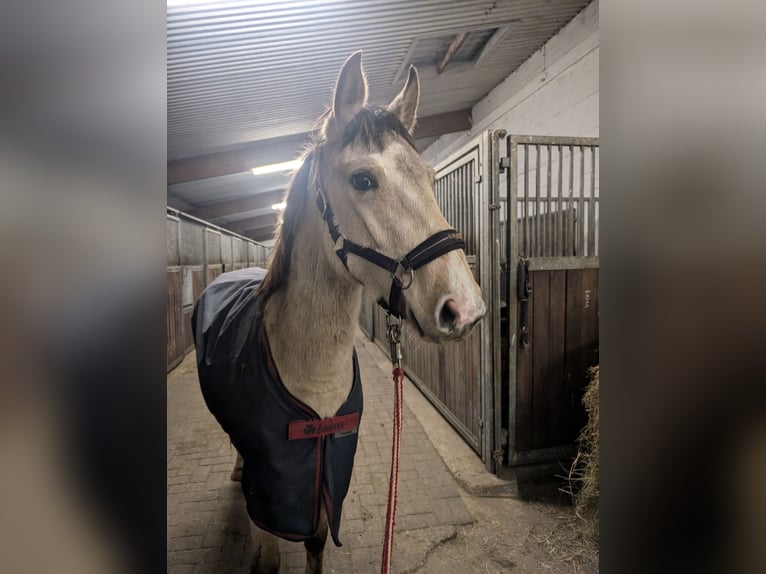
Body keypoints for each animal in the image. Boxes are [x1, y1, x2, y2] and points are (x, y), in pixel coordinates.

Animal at [195, 53, 488, 574]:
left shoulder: (327, 471)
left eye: (430, 177)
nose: (466, 310)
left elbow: (314, 541)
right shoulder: (269, 487)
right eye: (363, 179)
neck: (310, 374)